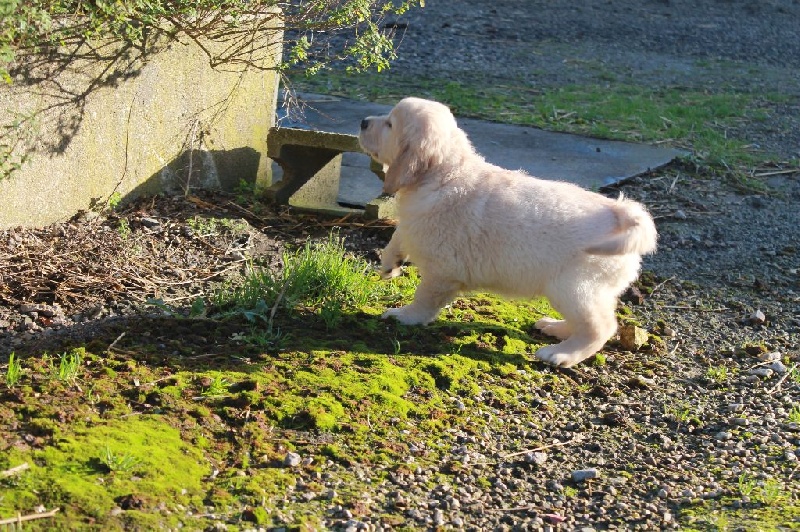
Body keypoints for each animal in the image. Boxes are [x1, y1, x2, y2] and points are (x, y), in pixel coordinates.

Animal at [358, 97, 656, 368]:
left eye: (390, 124)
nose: (362, 122)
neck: (444, 173)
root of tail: (620, 212)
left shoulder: (442, 271)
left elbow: (425, 298)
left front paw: (406, 316)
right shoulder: (412, 223)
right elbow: (398, 235)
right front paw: (390, 263)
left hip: (574, 288)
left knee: (600, 327)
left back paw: (561, 354)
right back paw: (556, 327)